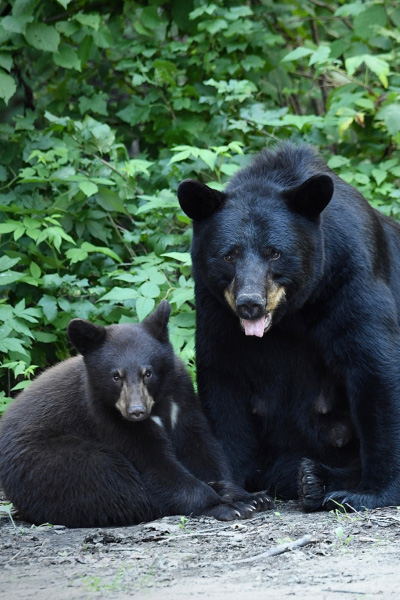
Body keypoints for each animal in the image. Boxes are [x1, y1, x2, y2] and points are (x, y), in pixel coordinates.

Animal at [0, 302, 272, 528]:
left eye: (148, 373)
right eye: (115, 375)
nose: (136, 412)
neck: (157, 405)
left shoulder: (181, 398)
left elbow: (202, 447)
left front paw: (248, 495)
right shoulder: (106, 418)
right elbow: (155, 466)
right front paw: (228, 505)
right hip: (49, 462)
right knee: (110, 482)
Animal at [179, 144, 400, 510]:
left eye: (274, 253)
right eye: (229, 255)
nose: (250, 303)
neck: (291, 313)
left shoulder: (350, 275)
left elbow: (375, 368)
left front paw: (373, 491)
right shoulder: (215, 305)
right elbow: (223, 380)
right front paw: (237, 496)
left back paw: (319, 481)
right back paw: (309, 479)